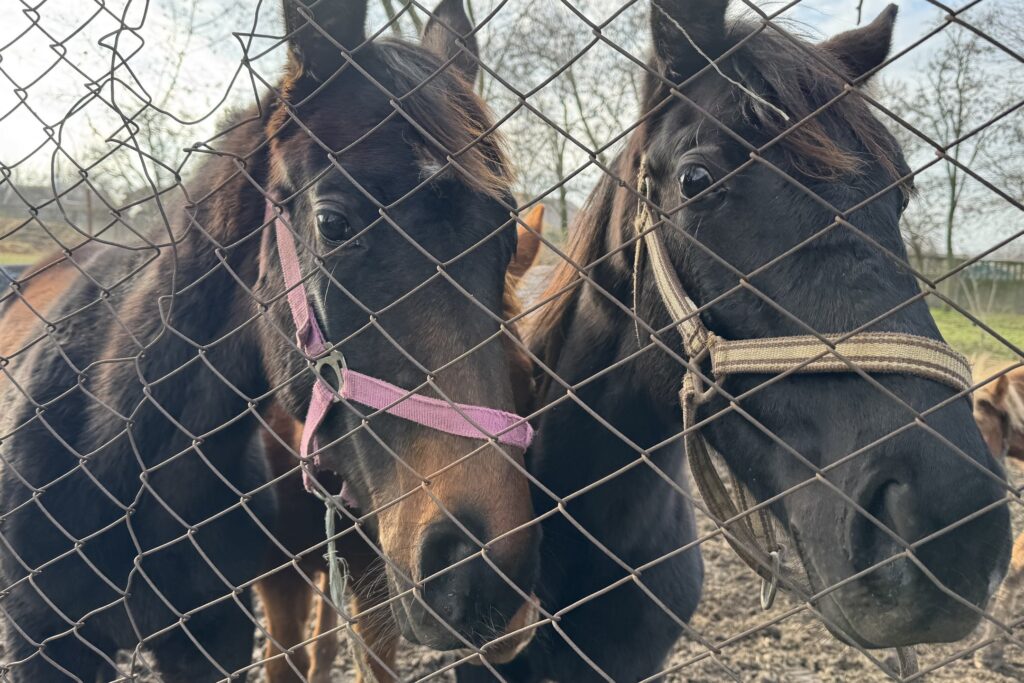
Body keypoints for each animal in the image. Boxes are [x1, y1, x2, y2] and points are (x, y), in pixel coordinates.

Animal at [0, 0, 541, 679]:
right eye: (333, 222)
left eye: (505, 234)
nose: (482, 575)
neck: (117, 460)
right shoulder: (41, 640)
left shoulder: (213, 636)